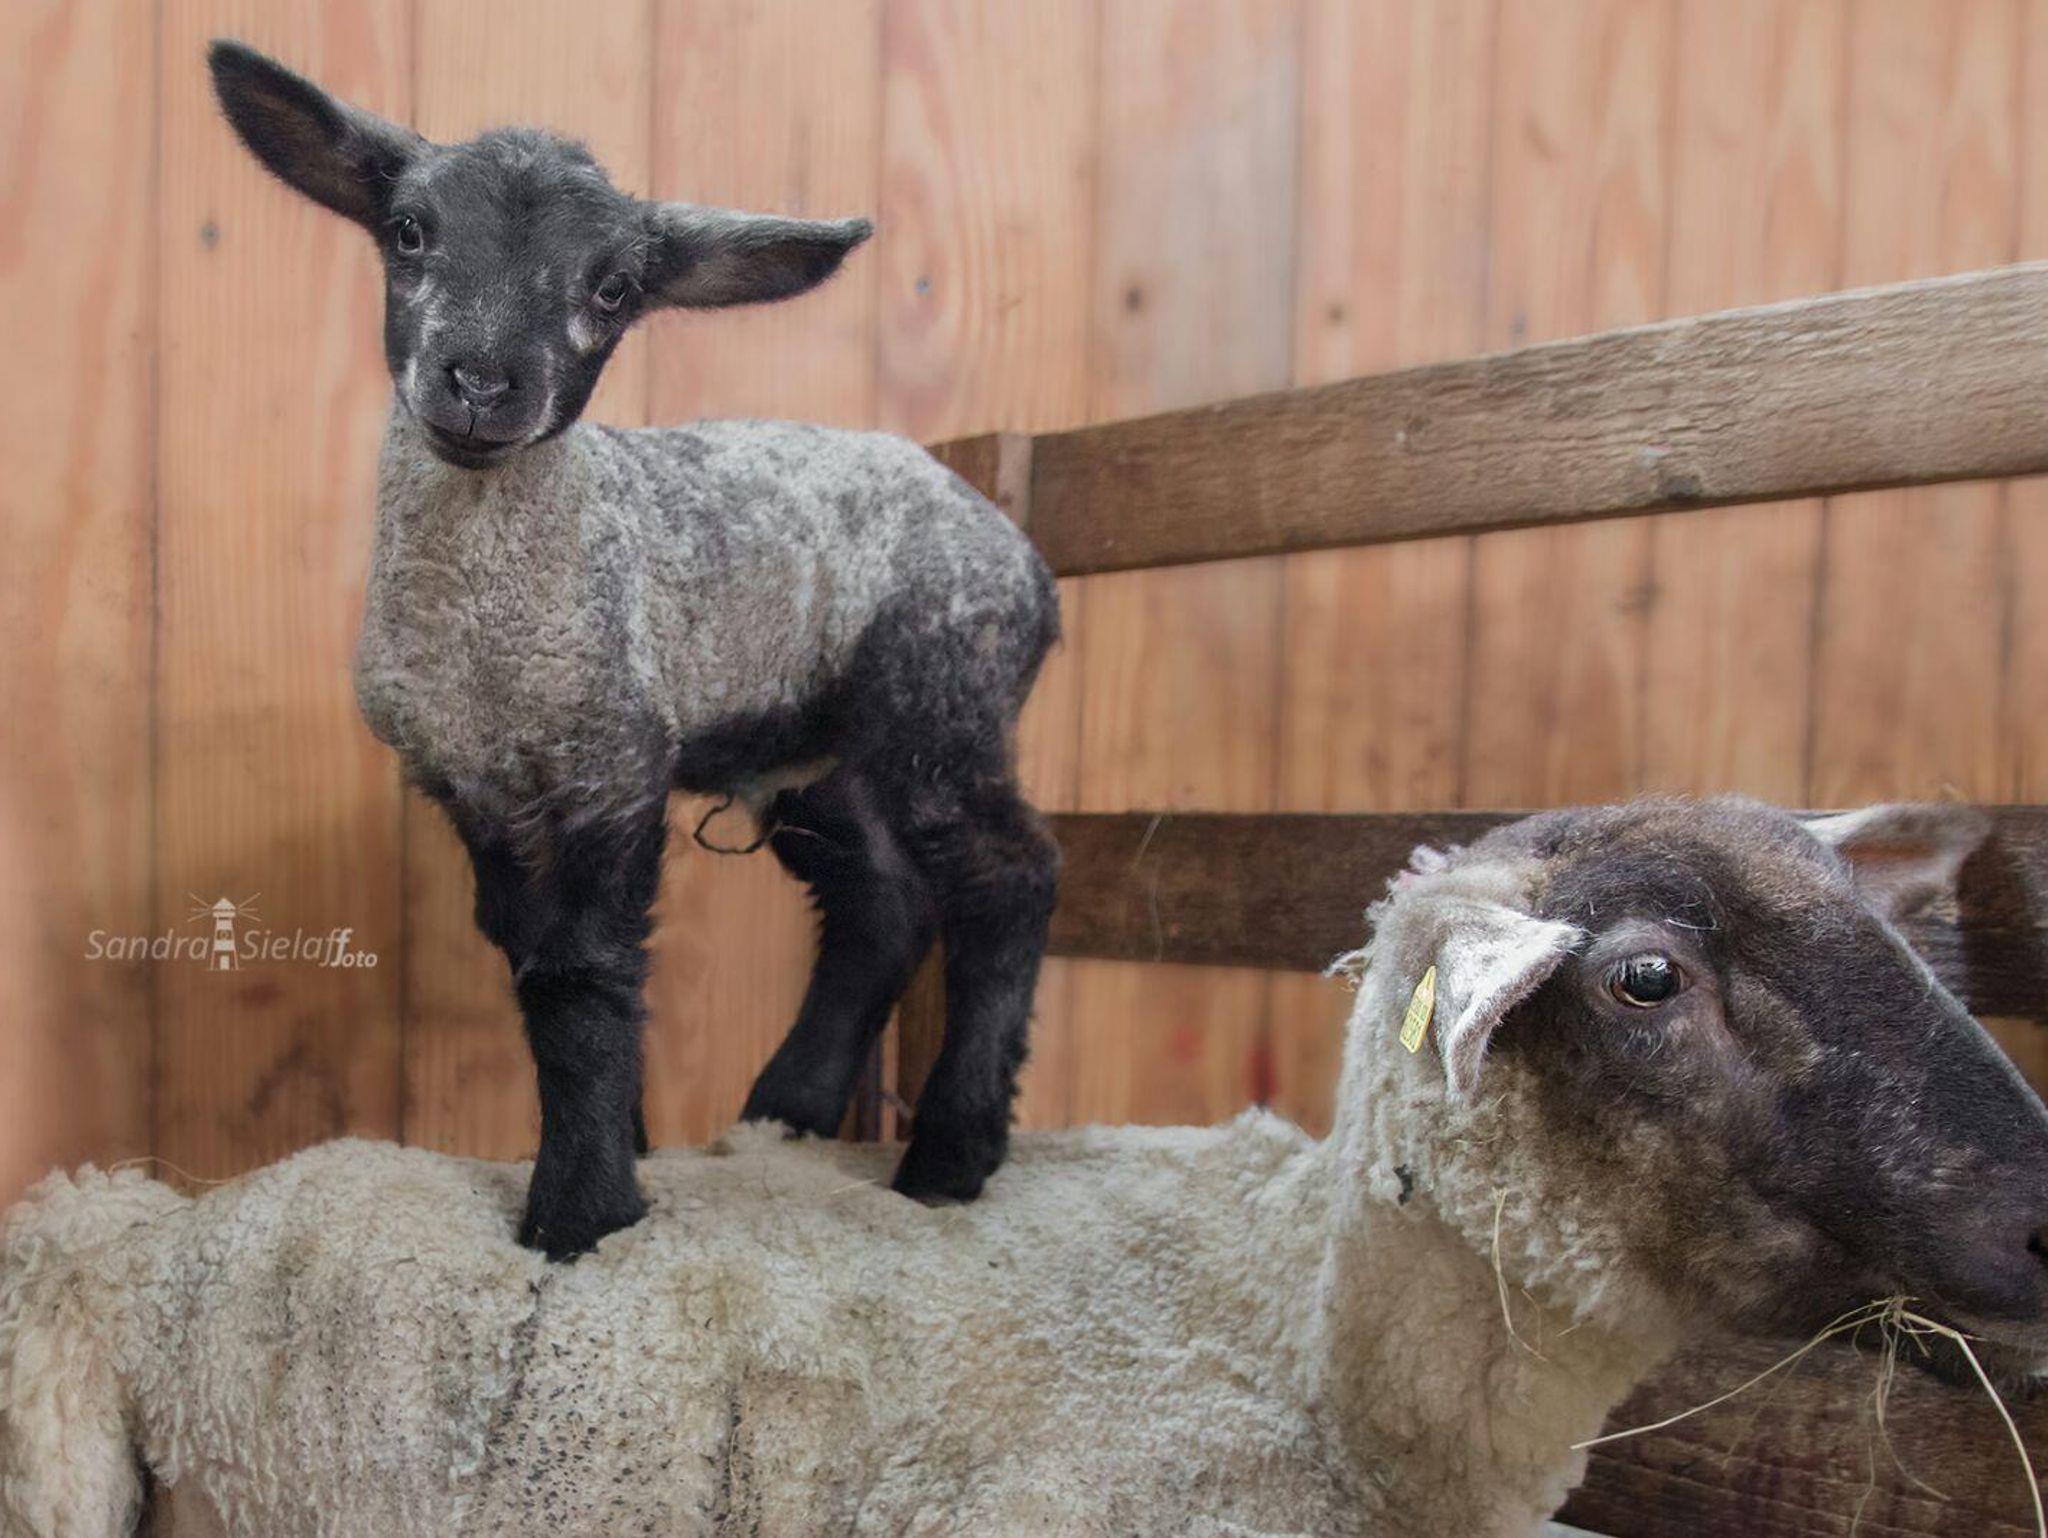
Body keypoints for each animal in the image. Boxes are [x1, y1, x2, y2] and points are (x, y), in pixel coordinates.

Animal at [203, 43, 1063, 1259]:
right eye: (409, 231)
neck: (486, 631)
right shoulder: (471, 781)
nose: (482, 383)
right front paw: (628, 1145)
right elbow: (529, 961)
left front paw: (580, 1212)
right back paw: (786, 1113)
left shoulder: (611, 758)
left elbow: (582, 980)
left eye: (611, 288)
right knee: (881, 903)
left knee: (1008, 878)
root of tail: (1019, 554)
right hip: (817, 751)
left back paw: (948, 1155)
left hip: (945, 694)